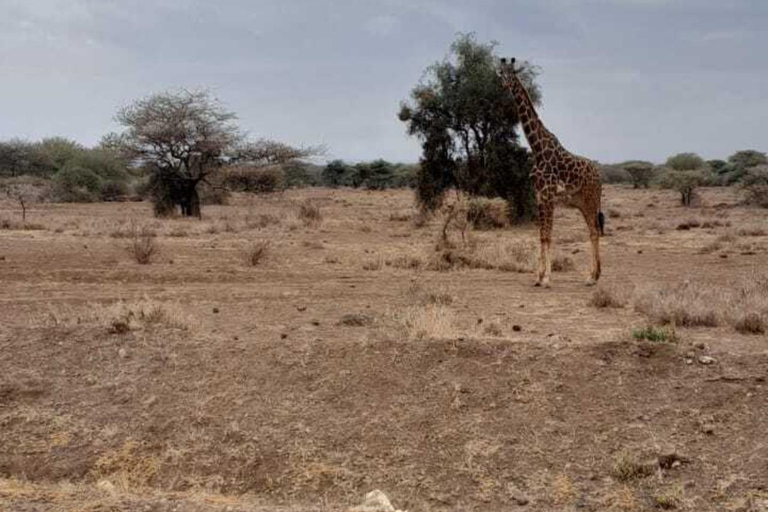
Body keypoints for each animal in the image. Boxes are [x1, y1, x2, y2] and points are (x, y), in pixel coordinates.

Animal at [498, 58, 608, 288]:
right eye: (500, 72)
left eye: (512, 73)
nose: (503, 83)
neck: (536, 147)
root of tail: (600, 177)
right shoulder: (540, 196)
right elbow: (542, 235)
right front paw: (538, 277)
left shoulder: (548, 195)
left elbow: (548, 235)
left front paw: (547, 278)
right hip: (581, 203)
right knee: (593, 231)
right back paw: (593, 276)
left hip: (591, 200)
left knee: (595, 231)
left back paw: (592, 277)